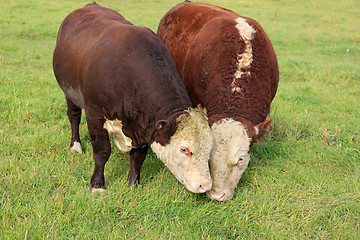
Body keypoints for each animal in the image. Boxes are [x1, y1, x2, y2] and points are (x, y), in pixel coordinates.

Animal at [53, 2, 214, 194]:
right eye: (184, 149)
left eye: (210, 148)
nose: (206, 185)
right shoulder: (95, 115)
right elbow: (101, 152)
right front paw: (97, 184)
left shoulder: (145, 125)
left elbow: (138, 157)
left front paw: (133, 184)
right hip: (69, 92)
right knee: (74, 117)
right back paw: (75, 146)